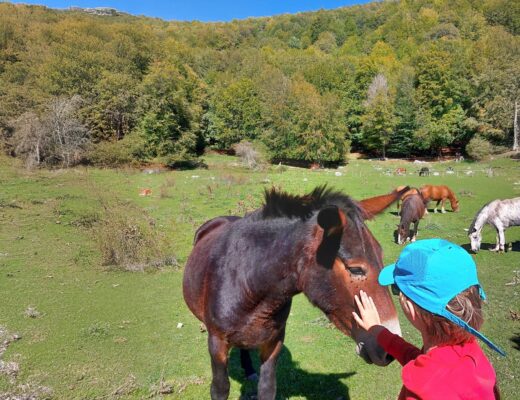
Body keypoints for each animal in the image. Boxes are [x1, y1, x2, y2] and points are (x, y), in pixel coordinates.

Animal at [183, 185, 408, 400]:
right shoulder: (217, 343)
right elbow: (220, 389)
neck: (249, 286)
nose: (389, 348)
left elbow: (267, 389)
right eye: (355, 269)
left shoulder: (273, 342)